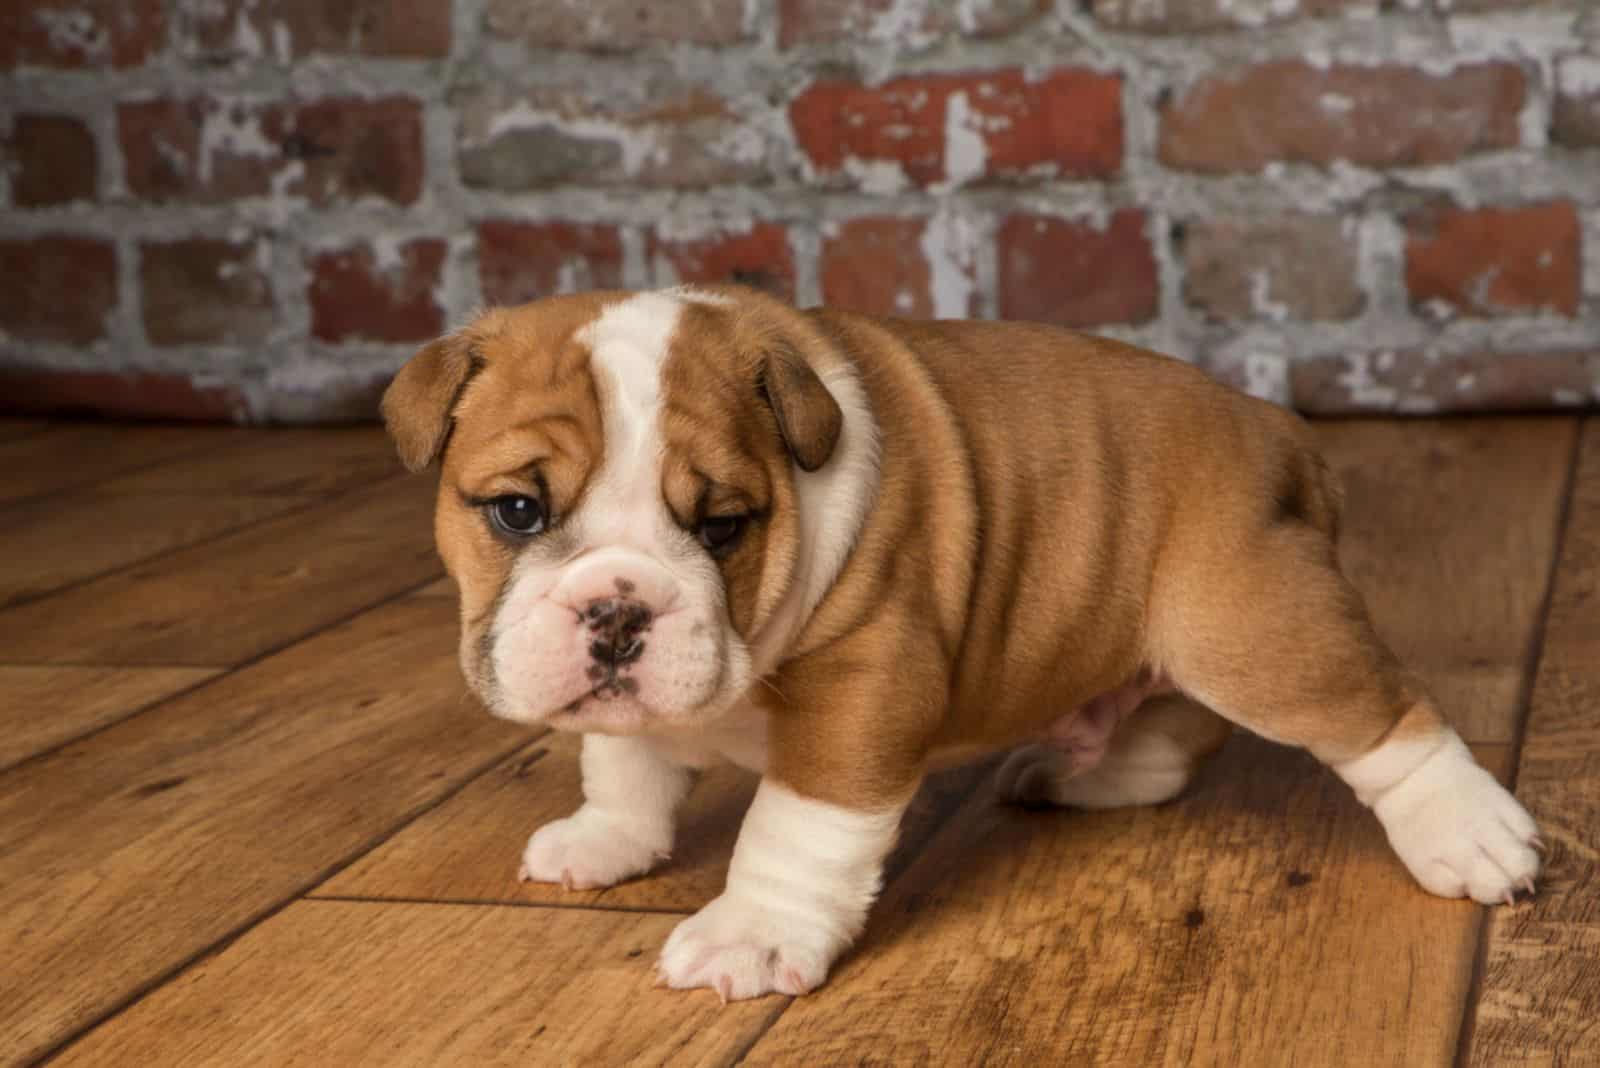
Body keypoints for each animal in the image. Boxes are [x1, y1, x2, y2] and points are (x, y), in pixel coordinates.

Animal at [380, 282, 1542, 1004]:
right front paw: (607, 837)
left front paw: (753, 932)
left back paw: (1472, 833)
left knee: (1381, 719)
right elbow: (623, 760)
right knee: (1171, 733)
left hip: (1249, 623)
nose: (619, 612)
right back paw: (1077, 776)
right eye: (517, 512)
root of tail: (1277, 429)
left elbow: (796, 828)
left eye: (723, 528)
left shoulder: (862, 685)